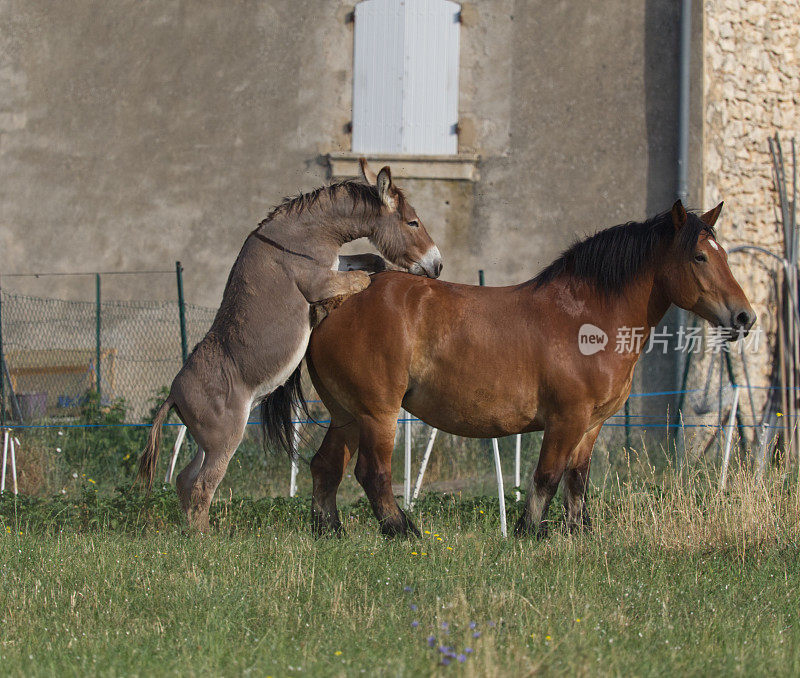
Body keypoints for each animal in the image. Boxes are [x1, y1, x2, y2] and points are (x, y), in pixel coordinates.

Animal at [286, 199, 752, 540]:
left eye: (725, 256)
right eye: (699, 257)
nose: (745, 317)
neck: (587, 317)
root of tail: (335, 302)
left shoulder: (591, 425)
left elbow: (578, 479)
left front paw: (577, 531)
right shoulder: (566, 419)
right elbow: (547, 476)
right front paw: (529, 531)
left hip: (348, 415)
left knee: (325, 466)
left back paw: (329, 531)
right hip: (377, 413)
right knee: (373, 473)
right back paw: (403, 532)